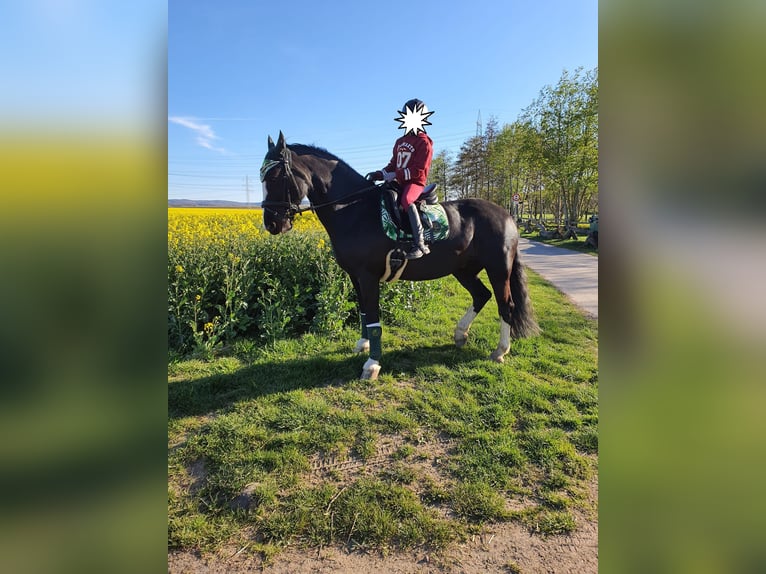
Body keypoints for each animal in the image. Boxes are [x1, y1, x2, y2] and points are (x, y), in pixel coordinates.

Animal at [262, 132, 540, 380]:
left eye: (276, 176)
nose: (272, 224)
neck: (354, 210)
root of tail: (506, 215)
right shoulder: (354, 276)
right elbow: (364, 314)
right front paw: (362, 345)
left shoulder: (368, 277)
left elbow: (374, 320)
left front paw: (372, 364)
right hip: (463, 270)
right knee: (481, 295)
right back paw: (461, 334)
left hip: (498, 269)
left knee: (506, 305)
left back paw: (500, 351)